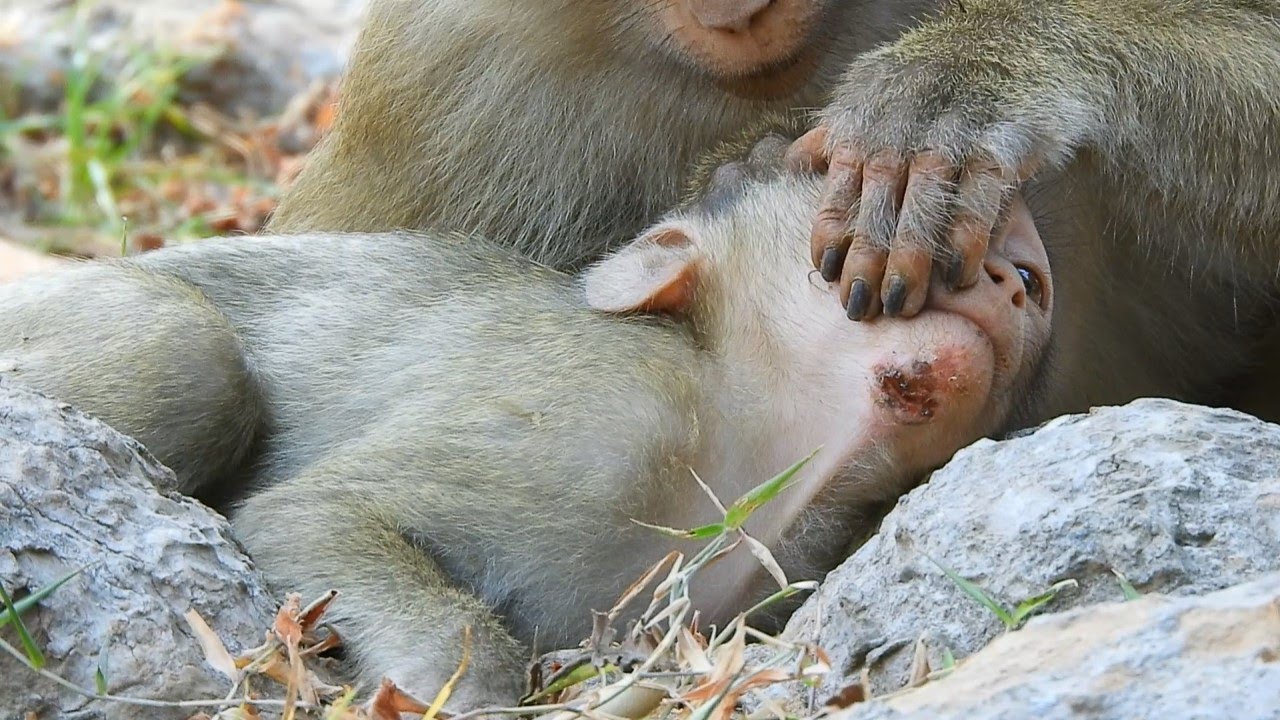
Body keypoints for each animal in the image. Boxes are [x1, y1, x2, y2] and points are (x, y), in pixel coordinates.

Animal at [0, 172, 1054, 710]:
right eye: (946, 238)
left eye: (1024, 271)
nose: (1020, 282)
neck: (749, 443)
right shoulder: (599, 408)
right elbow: (317, 514)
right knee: (190, 352)